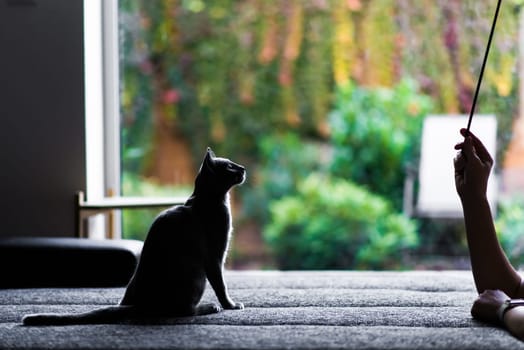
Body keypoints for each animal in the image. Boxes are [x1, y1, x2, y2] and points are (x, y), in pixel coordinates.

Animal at [22, 148, 246, 326]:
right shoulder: (215, 256)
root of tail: (140, 303)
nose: (243, 168)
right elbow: (222, 285)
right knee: (184, 310)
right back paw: (210, 307)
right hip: (197, 276)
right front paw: (231, 305)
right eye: (229, 166)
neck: (206, 198)